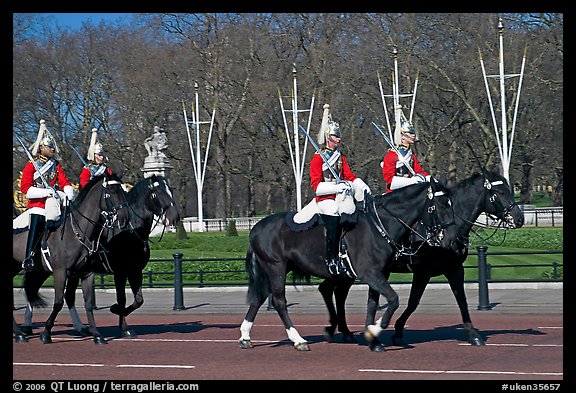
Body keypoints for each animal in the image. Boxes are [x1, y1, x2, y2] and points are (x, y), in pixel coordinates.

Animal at [13, 172, 129, 344]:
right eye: (112, 191)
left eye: (123, 190)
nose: (125, 219)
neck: (76, 232)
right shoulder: (60, 272)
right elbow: (58, 302)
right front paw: (46, 333)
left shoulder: (86, 273)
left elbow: (87, 303)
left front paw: (96, 334)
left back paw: (20, 332)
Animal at [21, 174, 180, 336]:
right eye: (158, 193)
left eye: (171, 190)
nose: (175, 217)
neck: (132, 231)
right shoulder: (120, 272)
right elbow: (122, 298)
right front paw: (122, 323)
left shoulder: (134, 271)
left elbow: (138, 300)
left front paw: (119, 314)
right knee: (32, 291)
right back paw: (27, 326)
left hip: (53, 270)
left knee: (40, 291)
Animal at [237, 179, 460, 350]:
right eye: (441, 205)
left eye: (452, 203)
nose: (453, 240)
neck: (380, 226)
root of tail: (255, 228)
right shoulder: (370, 273)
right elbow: (394, 299)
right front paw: (374, 330)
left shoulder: (380, 274)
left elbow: (373, 303)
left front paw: (373, 337)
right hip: (276, 268)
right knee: (279, 301)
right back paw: (298, 339)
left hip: (274, 270)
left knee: (259, 298)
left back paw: (245, 336)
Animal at [318, 168, 524, 350]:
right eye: (500, 192)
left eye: (509, 189)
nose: (519, 219)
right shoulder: (423, 271)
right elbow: (413, 302)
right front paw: (397, 331)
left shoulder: (455, 269)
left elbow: (462, 300)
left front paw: (473, 334)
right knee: (337, 293)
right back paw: (341, 330)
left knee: (332, 291)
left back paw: (339, 329)